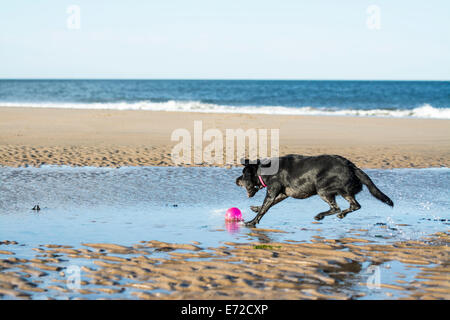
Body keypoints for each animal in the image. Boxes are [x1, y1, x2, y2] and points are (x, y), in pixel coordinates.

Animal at [236, 154, 394, 225]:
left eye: (243, 174)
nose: (236, 180)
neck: (265, 171)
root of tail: (351, 166)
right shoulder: (282, 194)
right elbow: (270, 204)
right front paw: (255, 209)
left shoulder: (272, 192)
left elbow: (265, 208)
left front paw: (252, 222)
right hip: (343, 192)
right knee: (355, 205)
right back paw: (342, 215)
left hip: (322, 189)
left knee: (336, 207)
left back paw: (321, 215)